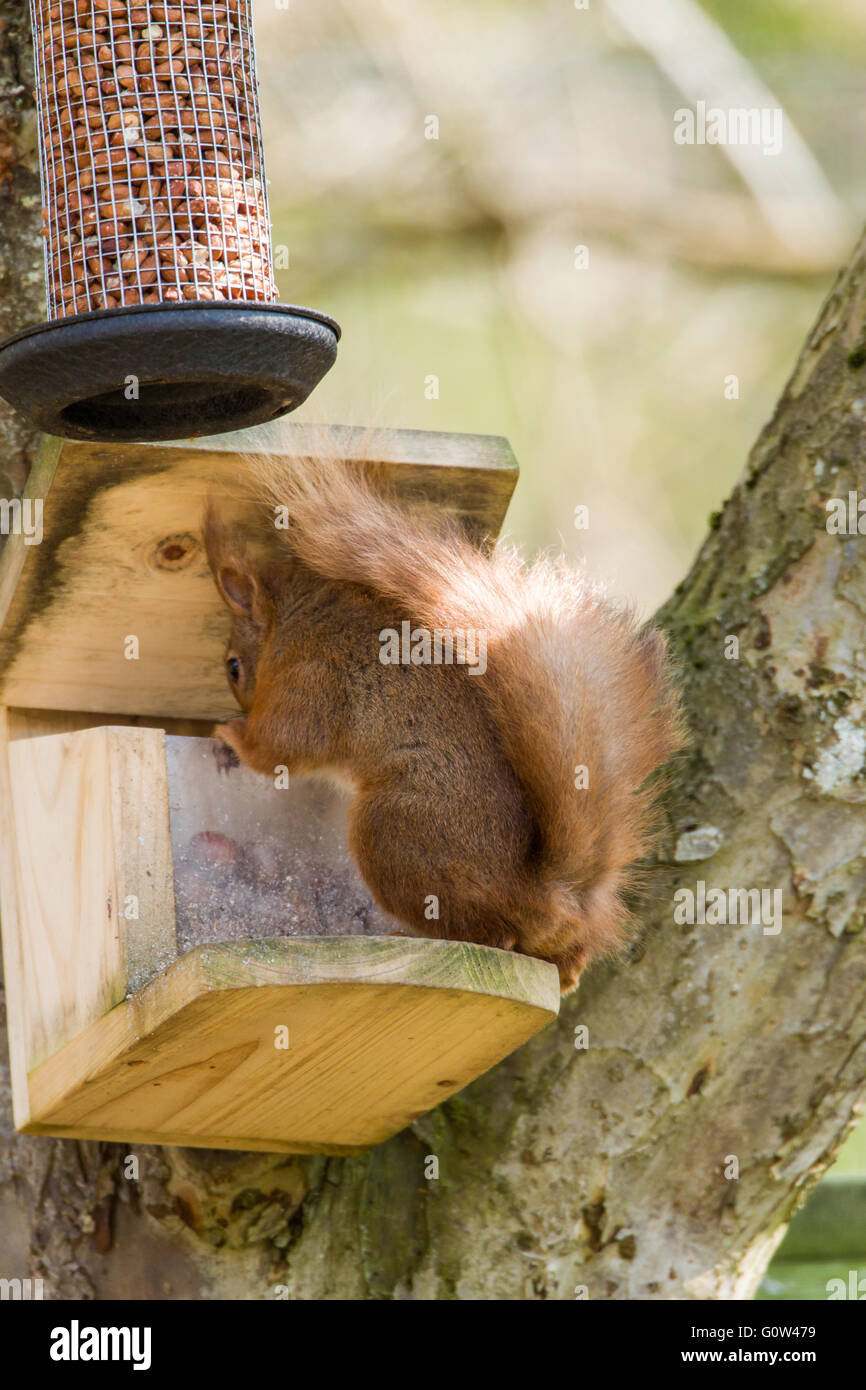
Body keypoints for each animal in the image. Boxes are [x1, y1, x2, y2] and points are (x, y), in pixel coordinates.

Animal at [204, 447, 683, 989]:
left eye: (233, 667)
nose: (232, 704)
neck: (296, 619)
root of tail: (538, 895)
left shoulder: (310, 679)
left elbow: (281, 748)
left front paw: (229, 736)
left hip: (394, 833)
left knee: (488, 936)